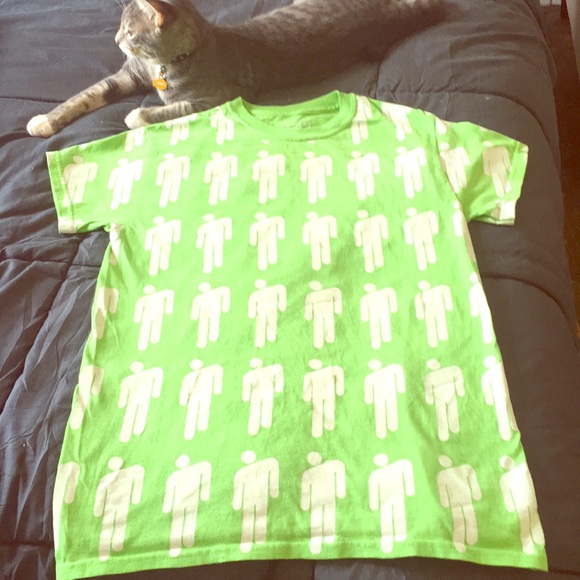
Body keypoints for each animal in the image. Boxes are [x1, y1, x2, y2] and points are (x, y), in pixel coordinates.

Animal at [26, 0, 445, 138]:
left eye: (129, 32)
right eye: (119, 28)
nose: (114, 40)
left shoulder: (217, 97)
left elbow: (162, 111)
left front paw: (139, 115)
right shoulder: (128, 75)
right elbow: (85, 96)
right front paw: (45, 120)